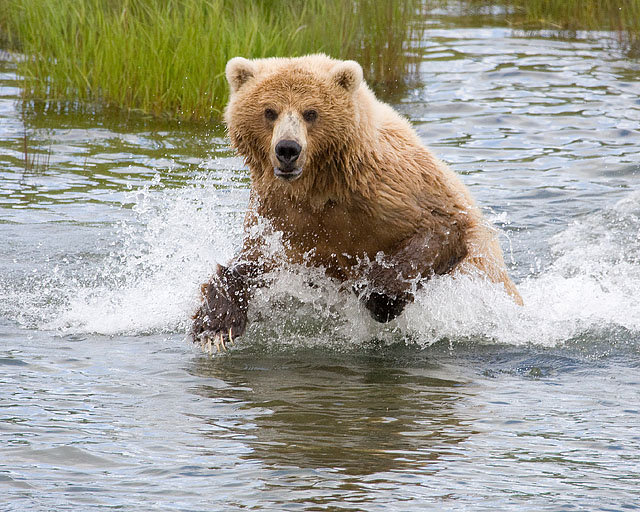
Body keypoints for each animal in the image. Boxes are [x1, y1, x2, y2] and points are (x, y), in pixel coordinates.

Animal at [192, 54, 522, 349]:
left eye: (311, 112)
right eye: (269, 111)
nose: (287, 149)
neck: (320, 187)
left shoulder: (392, 191)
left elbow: (442, 228)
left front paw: (379, 296)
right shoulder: (282, 217)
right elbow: (254, 263)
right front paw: (213, 326)